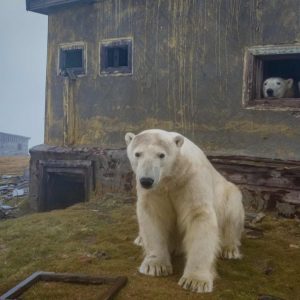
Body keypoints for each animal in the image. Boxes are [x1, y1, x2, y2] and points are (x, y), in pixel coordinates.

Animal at [124, 128, 244, 292]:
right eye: (137, 154)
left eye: (161, 155)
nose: (146, 180)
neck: (171, 176)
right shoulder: (155, 190)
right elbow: (153, 215)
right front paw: (155, 266)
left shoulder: (190, 179)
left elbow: (198, 216)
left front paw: (196, 281)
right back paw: (140, 239)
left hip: (228, 194)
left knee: (232, 212)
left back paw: (230, 249)